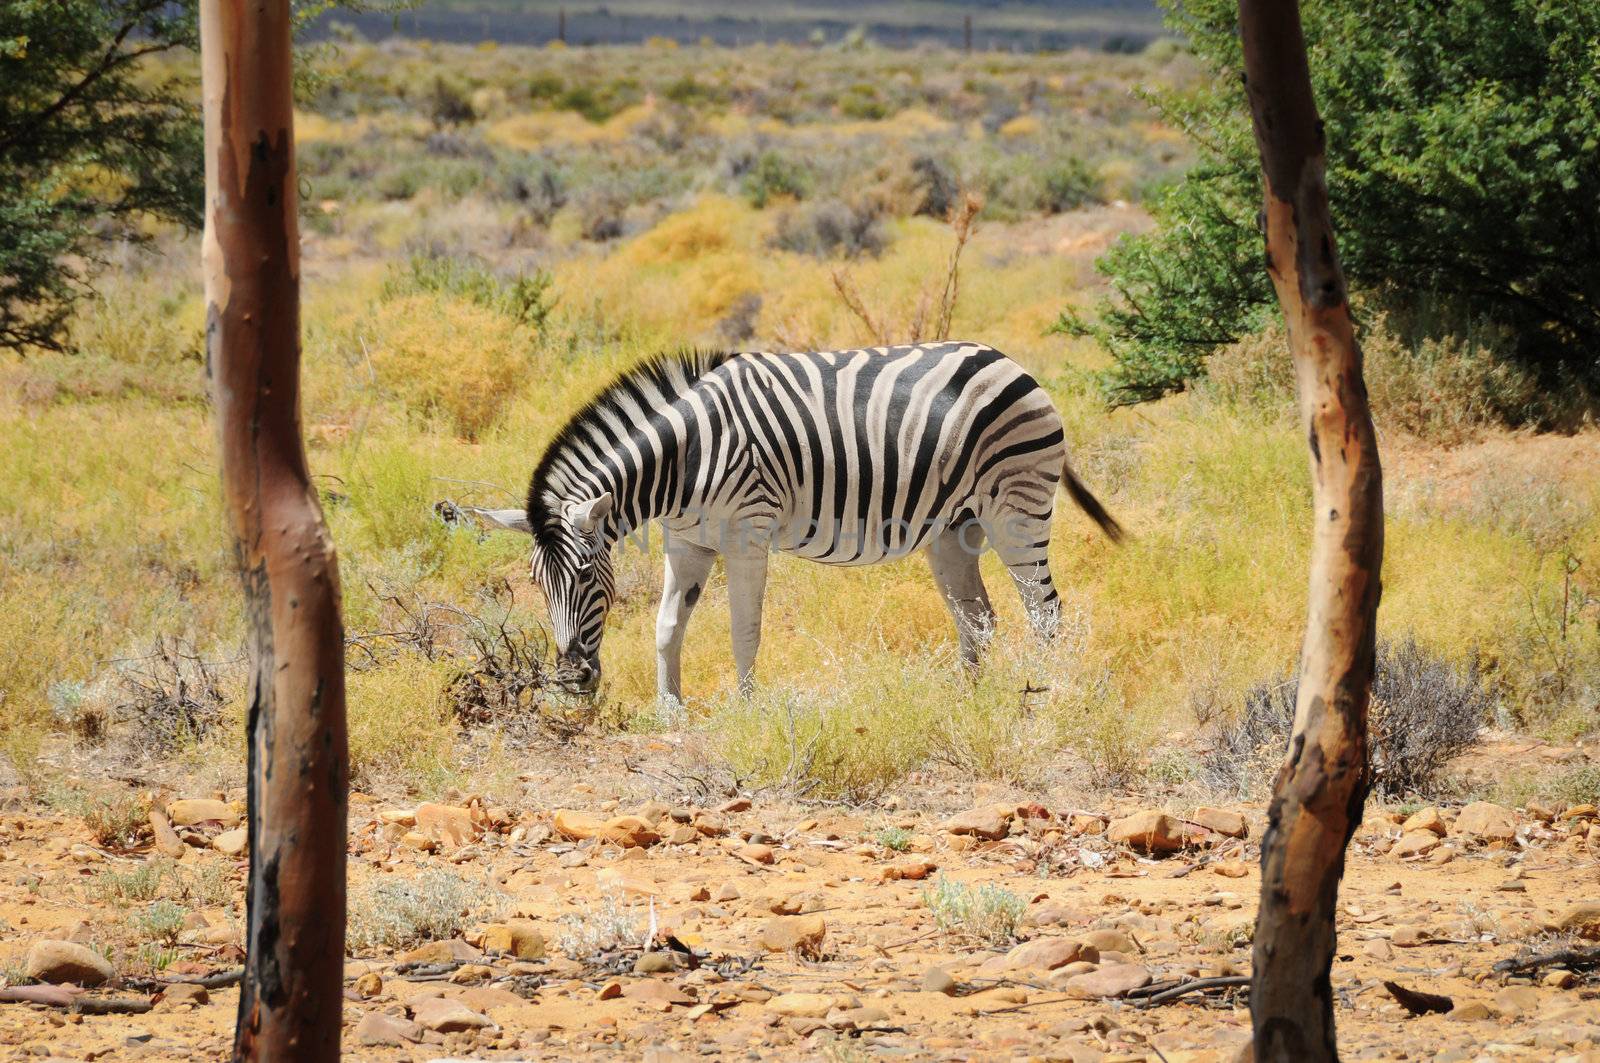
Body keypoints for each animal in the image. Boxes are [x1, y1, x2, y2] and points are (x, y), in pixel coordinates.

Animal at [470, 340, 1126, 701]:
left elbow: (744, 631)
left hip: (1016, 507)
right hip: (954, 529)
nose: (571, 679)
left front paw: (746, 709)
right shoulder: (686, 543)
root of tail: (1010, 361)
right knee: (981, 619)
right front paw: (670, 710)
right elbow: (665, 628)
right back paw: (969, 703)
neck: (683, 458)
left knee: (1045, 612)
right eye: (537, 585)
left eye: (586, 577)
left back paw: (1042, 696)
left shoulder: (747, 534)